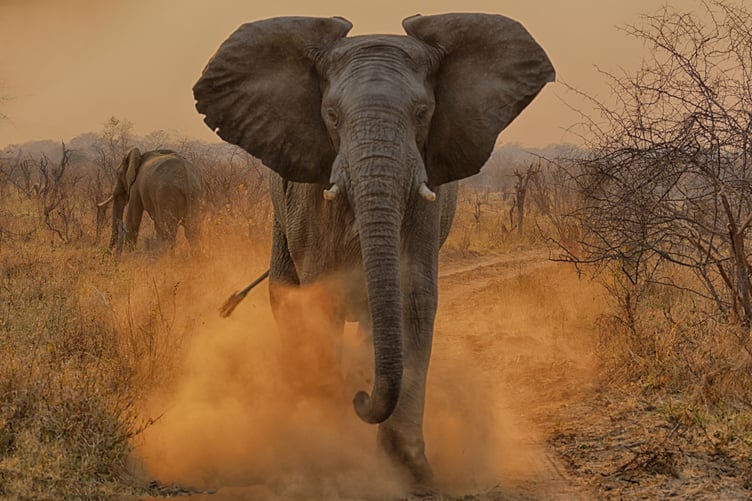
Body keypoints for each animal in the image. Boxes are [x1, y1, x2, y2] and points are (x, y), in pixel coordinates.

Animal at [193, 13, 554, 486]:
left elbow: (413, 296)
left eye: (423, 114)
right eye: (330, 115)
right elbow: (320, 299)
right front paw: (331, 456)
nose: (361, 397)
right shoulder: (309, 198)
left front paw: (410, 471)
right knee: (286, 299)